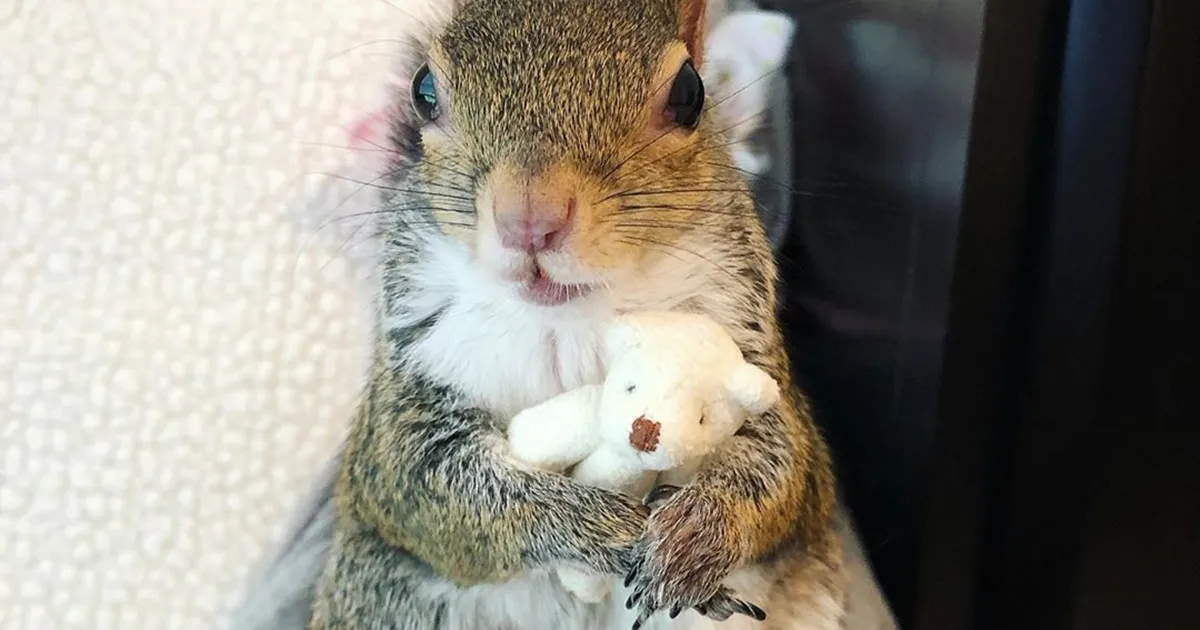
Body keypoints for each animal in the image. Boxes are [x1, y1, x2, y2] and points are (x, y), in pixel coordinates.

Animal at [306, 0, 850, 629]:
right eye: (424, 91)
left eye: (690, 93)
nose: (529, 218)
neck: (568, 321)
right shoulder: (406, 405)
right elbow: (435, 488)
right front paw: (605, 529)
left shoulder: (750, 351)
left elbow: (780, 466)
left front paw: (696, 533)